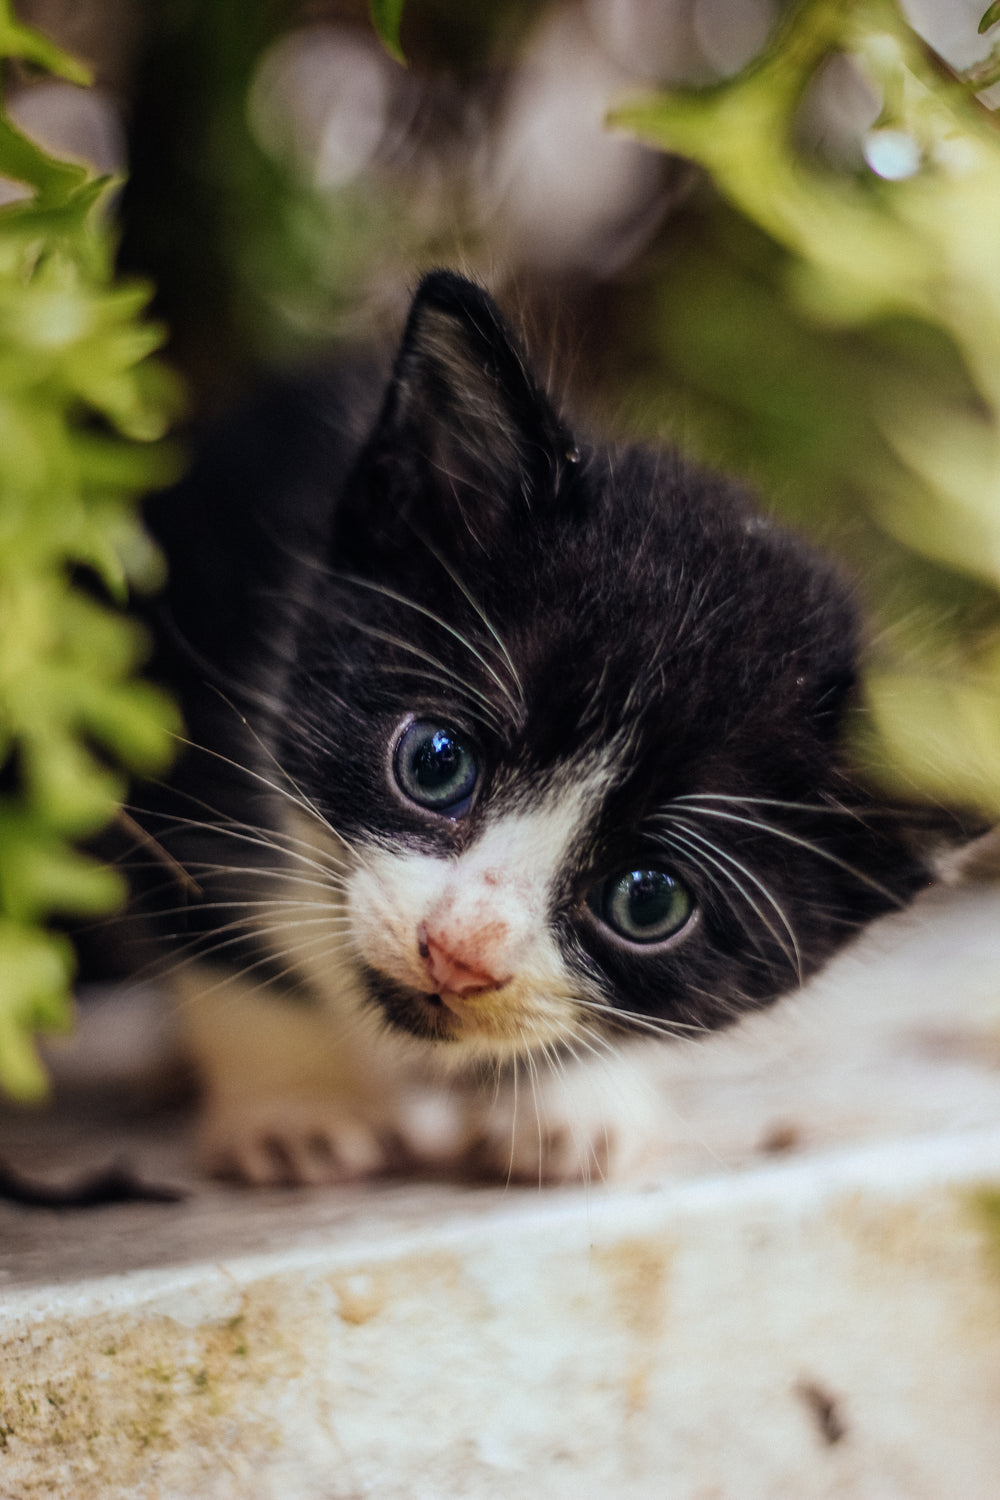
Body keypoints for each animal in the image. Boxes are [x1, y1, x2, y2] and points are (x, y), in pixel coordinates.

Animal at [138, 270, 941, 1182]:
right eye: (435, 762)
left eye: (648, 900)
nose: (461, 951)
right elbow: (223, 935)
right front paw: (295, 1109)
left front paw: (576, 1100)